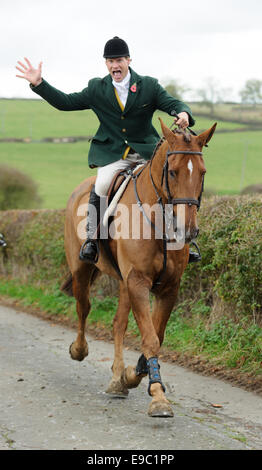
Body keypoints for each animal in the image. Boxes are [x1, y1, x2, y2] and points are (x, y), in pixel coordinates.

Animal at [62, 119, 217, 416]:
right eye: (173, 172)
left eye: (203, 172)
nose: (188, 230)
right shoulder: (138, 282)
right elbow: (150, 338)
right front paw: (158, 397)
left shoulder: (167, 287)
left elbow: (156, 335)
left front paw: (132, 376)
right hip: (82, 270)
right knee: (83, 307)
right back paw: (79, 350)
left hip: (124, 282)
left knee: (118, 324)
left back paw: (117, 380)